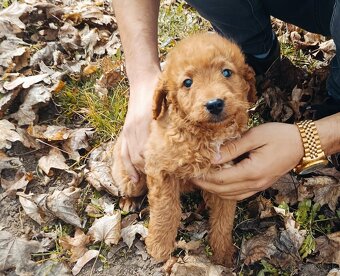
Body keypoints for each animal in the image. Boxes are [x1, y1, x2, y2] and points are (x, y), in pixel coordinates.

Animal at [111, 33, 255, 268]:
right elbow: (166, 209)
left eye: (226, 72)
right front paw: (159, 246)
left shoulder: (228, 180)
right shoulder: (159, 169)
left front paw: (222, 254)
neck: (206, 135)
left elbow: (224, 219)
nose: (214, 104)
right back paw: (129, 201)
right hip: (130, 175)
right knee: (128, 186)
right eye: (188, 82)